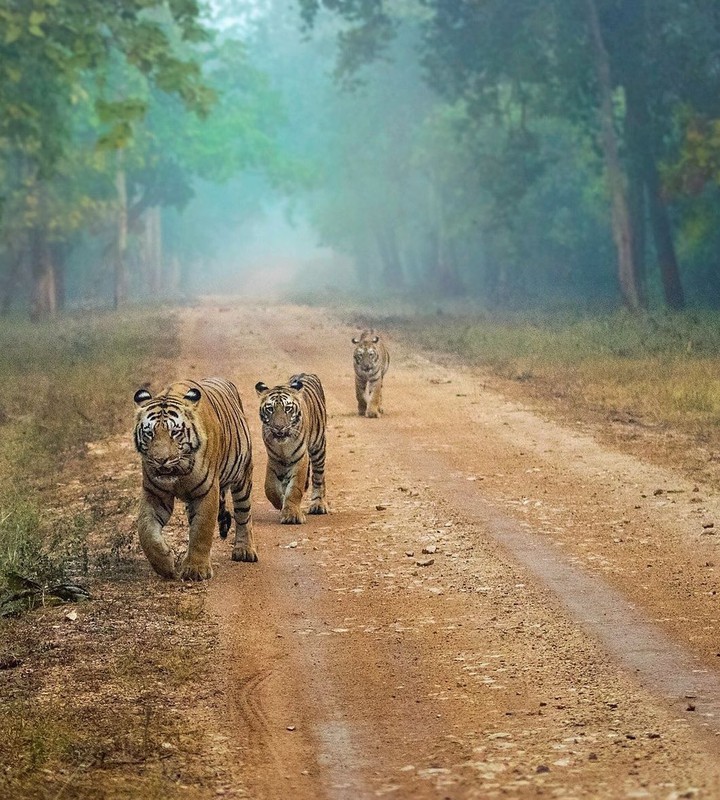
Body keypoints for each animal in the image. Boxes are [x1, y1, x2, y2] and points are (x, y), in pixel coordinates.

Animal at [133, 377, 255, 581]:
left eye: (175, 432)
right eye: (149, 433)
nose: (160, 460)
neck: (179, 472)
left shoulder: (207, 492)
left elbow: (201, 530)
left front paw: (196, 570)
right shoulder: (154, 494)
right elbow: (146, 530)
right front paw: (165, 564)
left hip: (243, 476)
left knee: (243, 515)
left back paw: (245, 550)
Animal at [254, 372, 328, 524]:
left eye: (287, 408)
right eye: (270, 409)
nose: (279, 427)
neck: (283, 445)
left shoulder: (300, 458)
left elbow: (294, 488)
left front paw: (291, 515)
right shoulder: (274, 459)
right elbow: (269, 488)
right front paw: (281, 504)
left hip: (318, 447)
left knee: (318, 477)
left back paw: (318, 504)